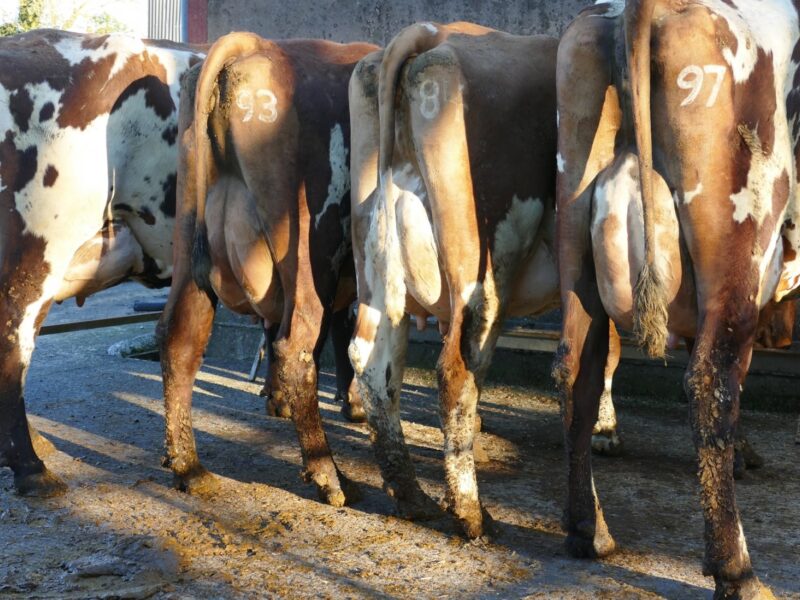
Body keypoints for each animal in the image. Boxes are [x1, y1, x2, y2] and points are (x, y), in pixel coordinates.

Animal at [158, 32, 377, 506]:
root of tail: (254, 47)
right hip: (309, 251)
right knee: (295, 345)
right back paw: (329, 475)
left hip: (190, 250)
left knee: (180, 339)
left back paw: (190, 467)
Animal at [348, 22, 566, 538]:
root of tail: (433, 36)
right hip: (483, 269)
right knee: (457, 370)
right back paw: (469, 513)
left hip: (378, 267)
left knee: (373, 362)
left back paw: (413, 497)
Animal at [554, 0, 799, 596]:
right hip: (738, 235)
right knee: (713, 378)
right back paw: (737, 571)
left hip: (575, 211)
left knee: (577, 367)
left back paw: (589, 530)